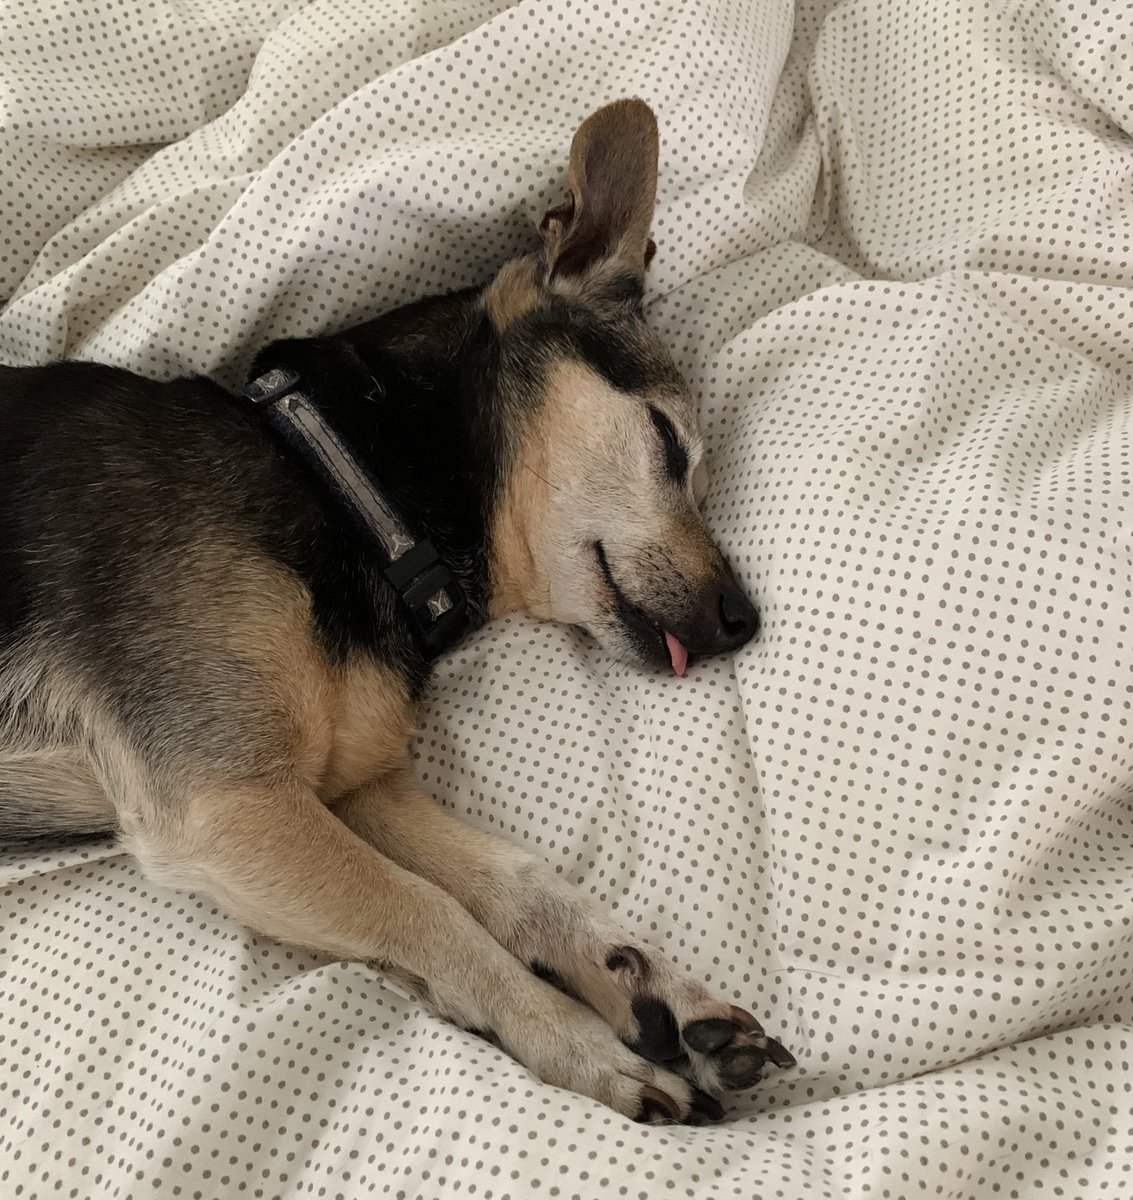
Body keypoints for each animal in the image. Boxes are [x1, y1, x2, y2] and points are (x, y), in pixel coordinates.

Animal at [0, 98, 792, 1118]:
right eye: (665, 442)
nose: (744, 619)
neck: (345, 492)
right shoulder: (226, 801)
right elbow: (435, 914)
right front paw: (580, 1047)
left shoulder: (349, 788)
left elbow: (516, 881)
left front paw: (650, 987)